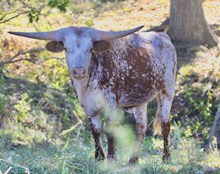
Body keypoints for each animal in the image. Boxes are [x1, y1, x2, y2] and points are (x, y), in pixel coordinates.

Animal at [9, 25, 177, 163]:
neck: (87, 86)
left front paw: (111, 158)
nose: (79, 71)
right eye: (66, 48)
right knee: (141, 127)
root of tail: (163, 36)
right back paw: (133, 160)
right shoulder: (87, 106)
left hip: (167, 91)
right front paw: (99, 157)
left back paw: (166, 157)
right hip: (140, 100)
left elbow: (109, 128)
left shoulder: (110, 102)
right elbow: (95, 130)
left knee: (165, 124)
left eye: (90, 49)